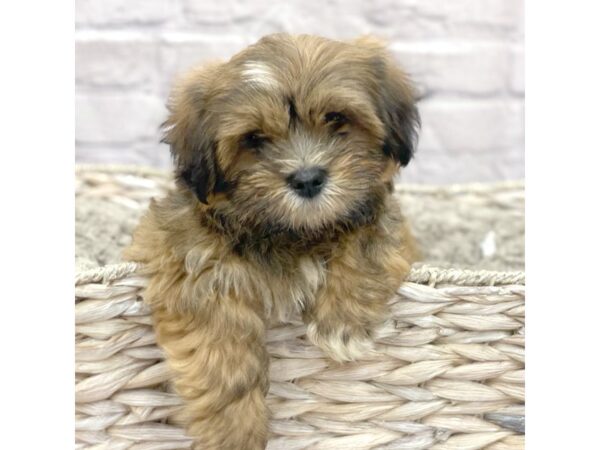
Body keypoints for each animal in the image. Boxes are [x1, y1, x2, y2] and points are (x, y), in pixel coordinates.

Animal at [124, 33, 420, 448]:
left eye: (336, 119)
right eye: (254, 139)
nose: (308, 179)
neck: (293, 233)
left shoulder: (378, 214)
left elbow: (367, 240)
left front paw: (341, 325)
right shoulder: (188, 258)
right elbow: (221, 337)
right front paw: (233, 430)